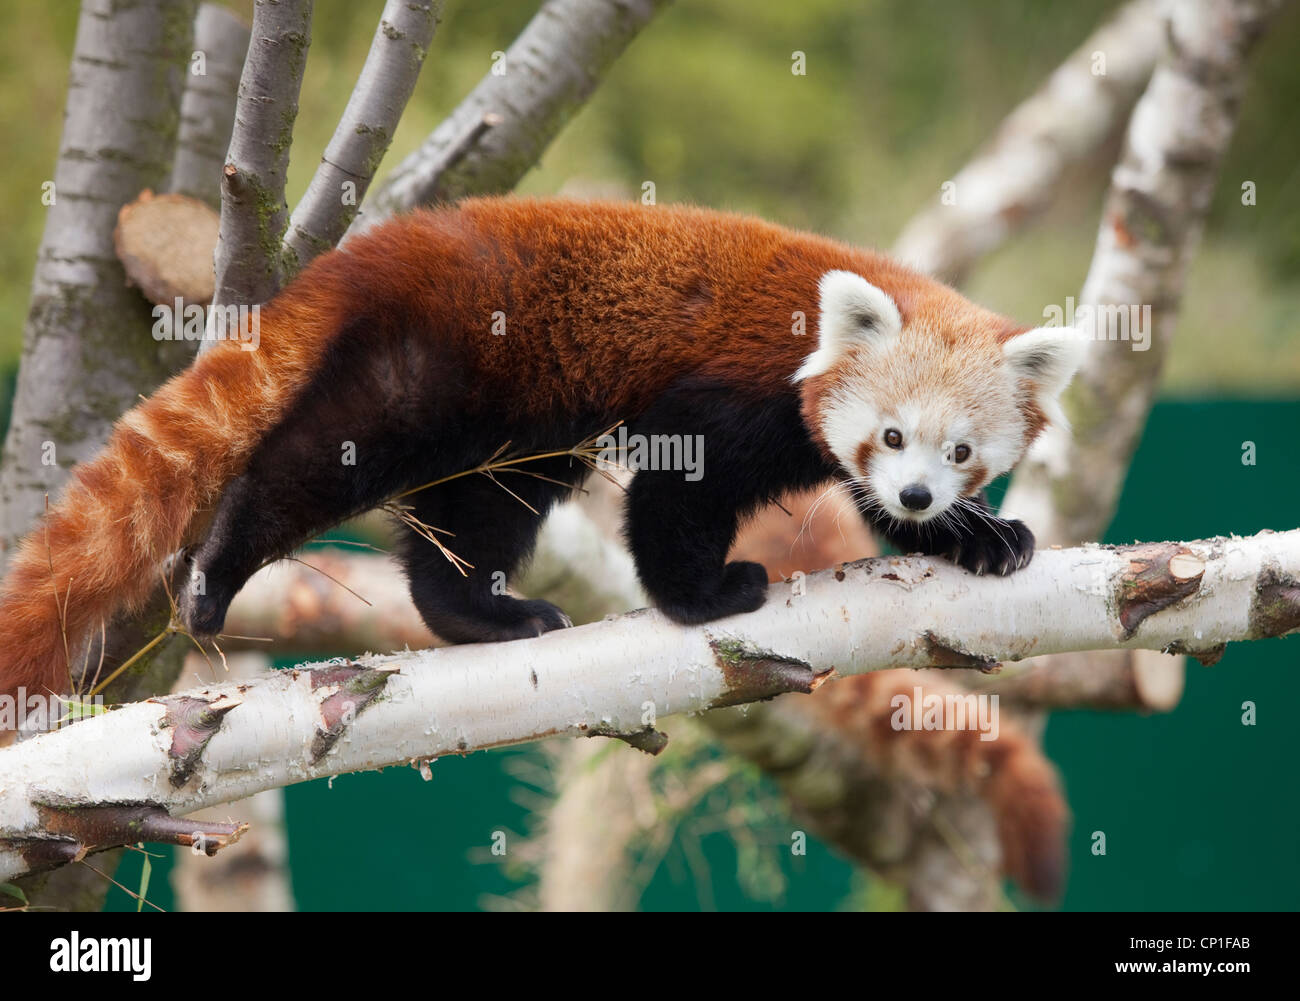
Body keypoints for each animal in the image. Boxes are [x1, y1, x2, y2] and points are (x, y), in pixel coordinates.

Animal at [0, 197, 1076, 707]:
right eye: (890, 432)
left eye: (960, 450)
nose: (920, 494)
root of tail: (380, 249)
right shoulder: (732, 393)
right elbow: (675, 496)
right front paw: (703, 596)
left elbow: (864, 503)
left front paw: (977, 537)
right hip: (421, 372)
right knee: (308, 463)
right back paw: (219, 569)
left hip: (515, 426)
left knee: (476, 521)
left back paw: (479, 613)